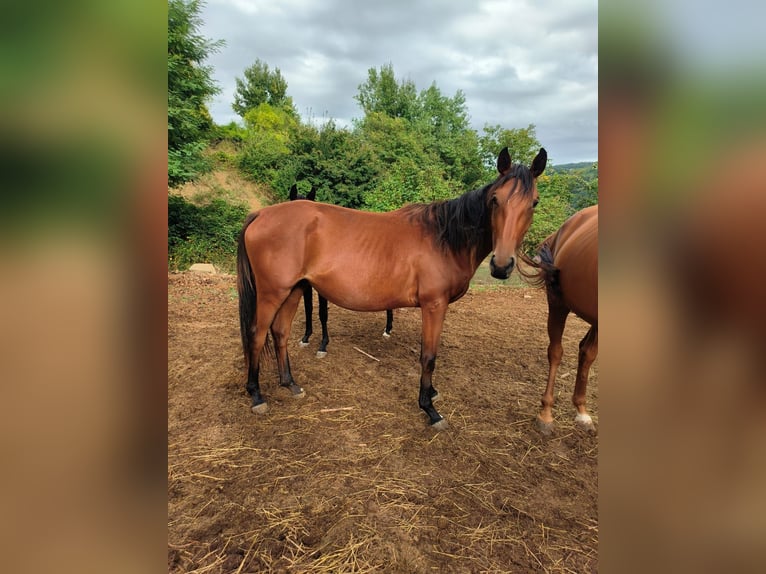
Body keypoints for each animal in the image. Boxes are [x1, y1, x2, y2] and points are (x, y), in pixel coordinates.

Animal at [288, 184, 395, 358]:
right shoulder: (306, 284)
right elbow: (308, 308)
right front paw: (306, 338)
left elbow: (322, 313)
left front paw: (323, 345)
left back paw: (387, 330)